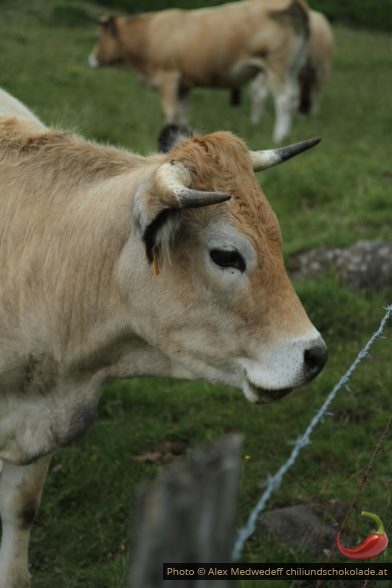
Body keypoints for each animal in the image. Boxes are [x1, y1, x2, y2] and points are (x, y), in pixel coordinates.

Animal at [88, 0, 310, 142]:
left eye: (98, 37)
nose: (90, 59)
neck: (149, 35)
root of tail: (292, 4)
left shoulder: (168, 77)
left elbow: (170, 110)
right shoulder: (184, 85)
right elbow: (183, 111)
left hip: (276, 67)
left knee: (284, 100)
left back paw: (279, 137)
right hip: (292, 69)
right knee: (294, 97)